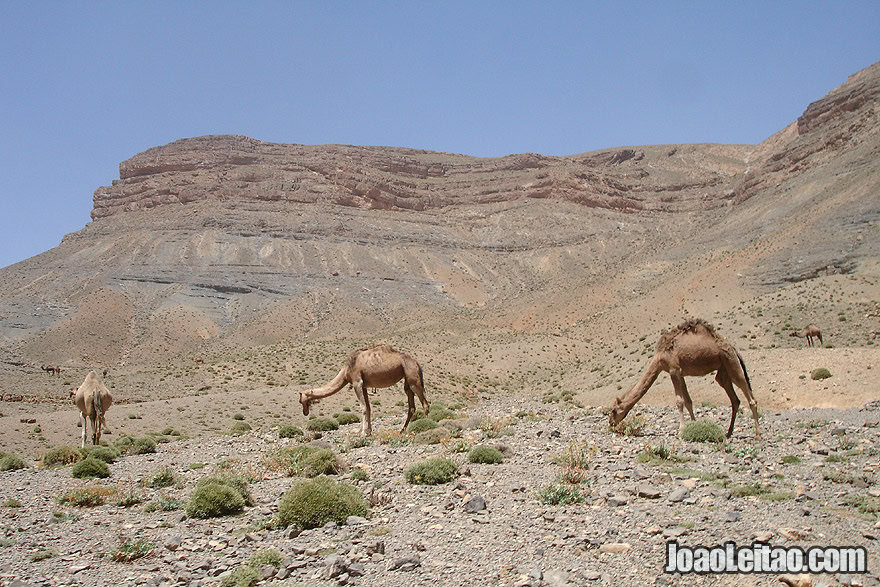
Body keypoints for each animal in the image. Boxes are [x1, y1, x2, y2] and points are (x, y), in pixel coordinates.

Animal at [300, 344, 430, 436]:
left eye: (301, 400)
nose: (305, 412)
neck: (346, 371)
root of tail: (416, 362)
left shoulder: (357, 382)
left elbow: (362, 408)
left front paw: (362, 432)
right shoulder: (364, 386)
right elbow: (368, 407)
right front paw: (369, 431)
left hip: (413, 378)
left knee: (425, 403)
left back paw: (427, 425)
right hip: (407, 379)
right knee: (411, 405)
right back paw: (402, 430)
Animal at [608, 322, 760, 440]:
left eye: (614, 410)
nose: (610, 423)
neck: (659, 358)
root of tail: (734, 349)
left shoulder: (674, 370)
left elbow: (679, 401)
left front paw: (681, 432)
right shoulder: (681, 374)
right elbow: (688, 401)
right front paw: (694, 425)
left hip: (731, 362)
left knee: (750, 396)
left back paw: (757, 435)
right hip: (723, 370)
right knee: (735, 399)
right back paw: (728, 433)